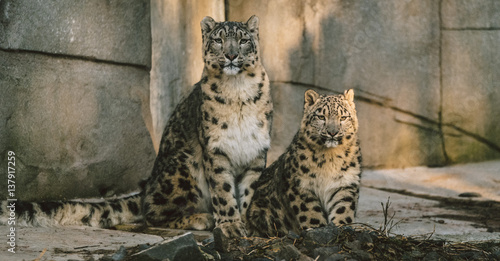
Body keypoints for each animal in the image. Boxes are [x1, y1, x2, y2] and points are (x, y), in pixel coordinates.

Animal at [0, 15, 274, 237]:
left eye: (243, 40)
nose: (231, 55)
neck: (237, 91)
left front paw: (247, 222)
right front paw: (230, 225)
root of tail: (149, 183)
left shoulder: (256, 150)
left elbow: (248, 191)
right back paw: (201, 218)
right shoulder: (215, 150)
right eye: (218, 40)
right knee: (152, 212)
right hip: (183, 168)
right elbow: (223, 190)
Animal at [245, 89, 360, 236]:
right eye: (321, 117)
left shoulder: (346, 184)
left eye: (343, 117)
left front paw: (341, 227)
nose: (332, 132)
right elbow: (310, 212)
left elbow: (343, 210)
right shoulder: (300, 185)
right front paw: (317, 229)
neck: (330, 158)